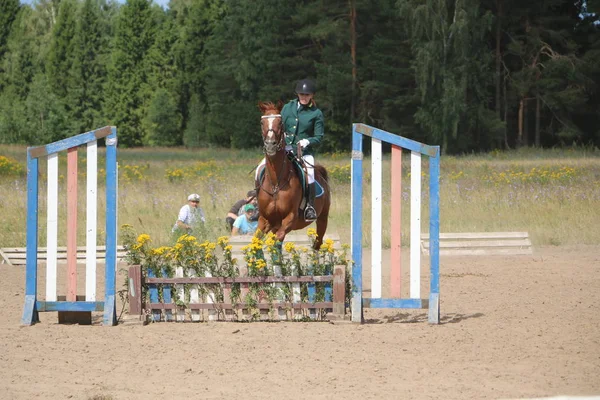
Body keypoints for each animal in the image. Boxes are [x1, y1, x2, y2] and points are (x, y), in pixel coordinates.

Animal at [255, 101, 330, 248]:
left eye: (280, 122)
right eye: (262, 123)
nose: (270, 145)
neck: (276, 183)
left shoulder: (290, 218)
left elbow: (277, 239)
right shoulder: (265, 219)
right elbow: (256, 241)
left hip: (322, 218)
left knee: (318, 243)